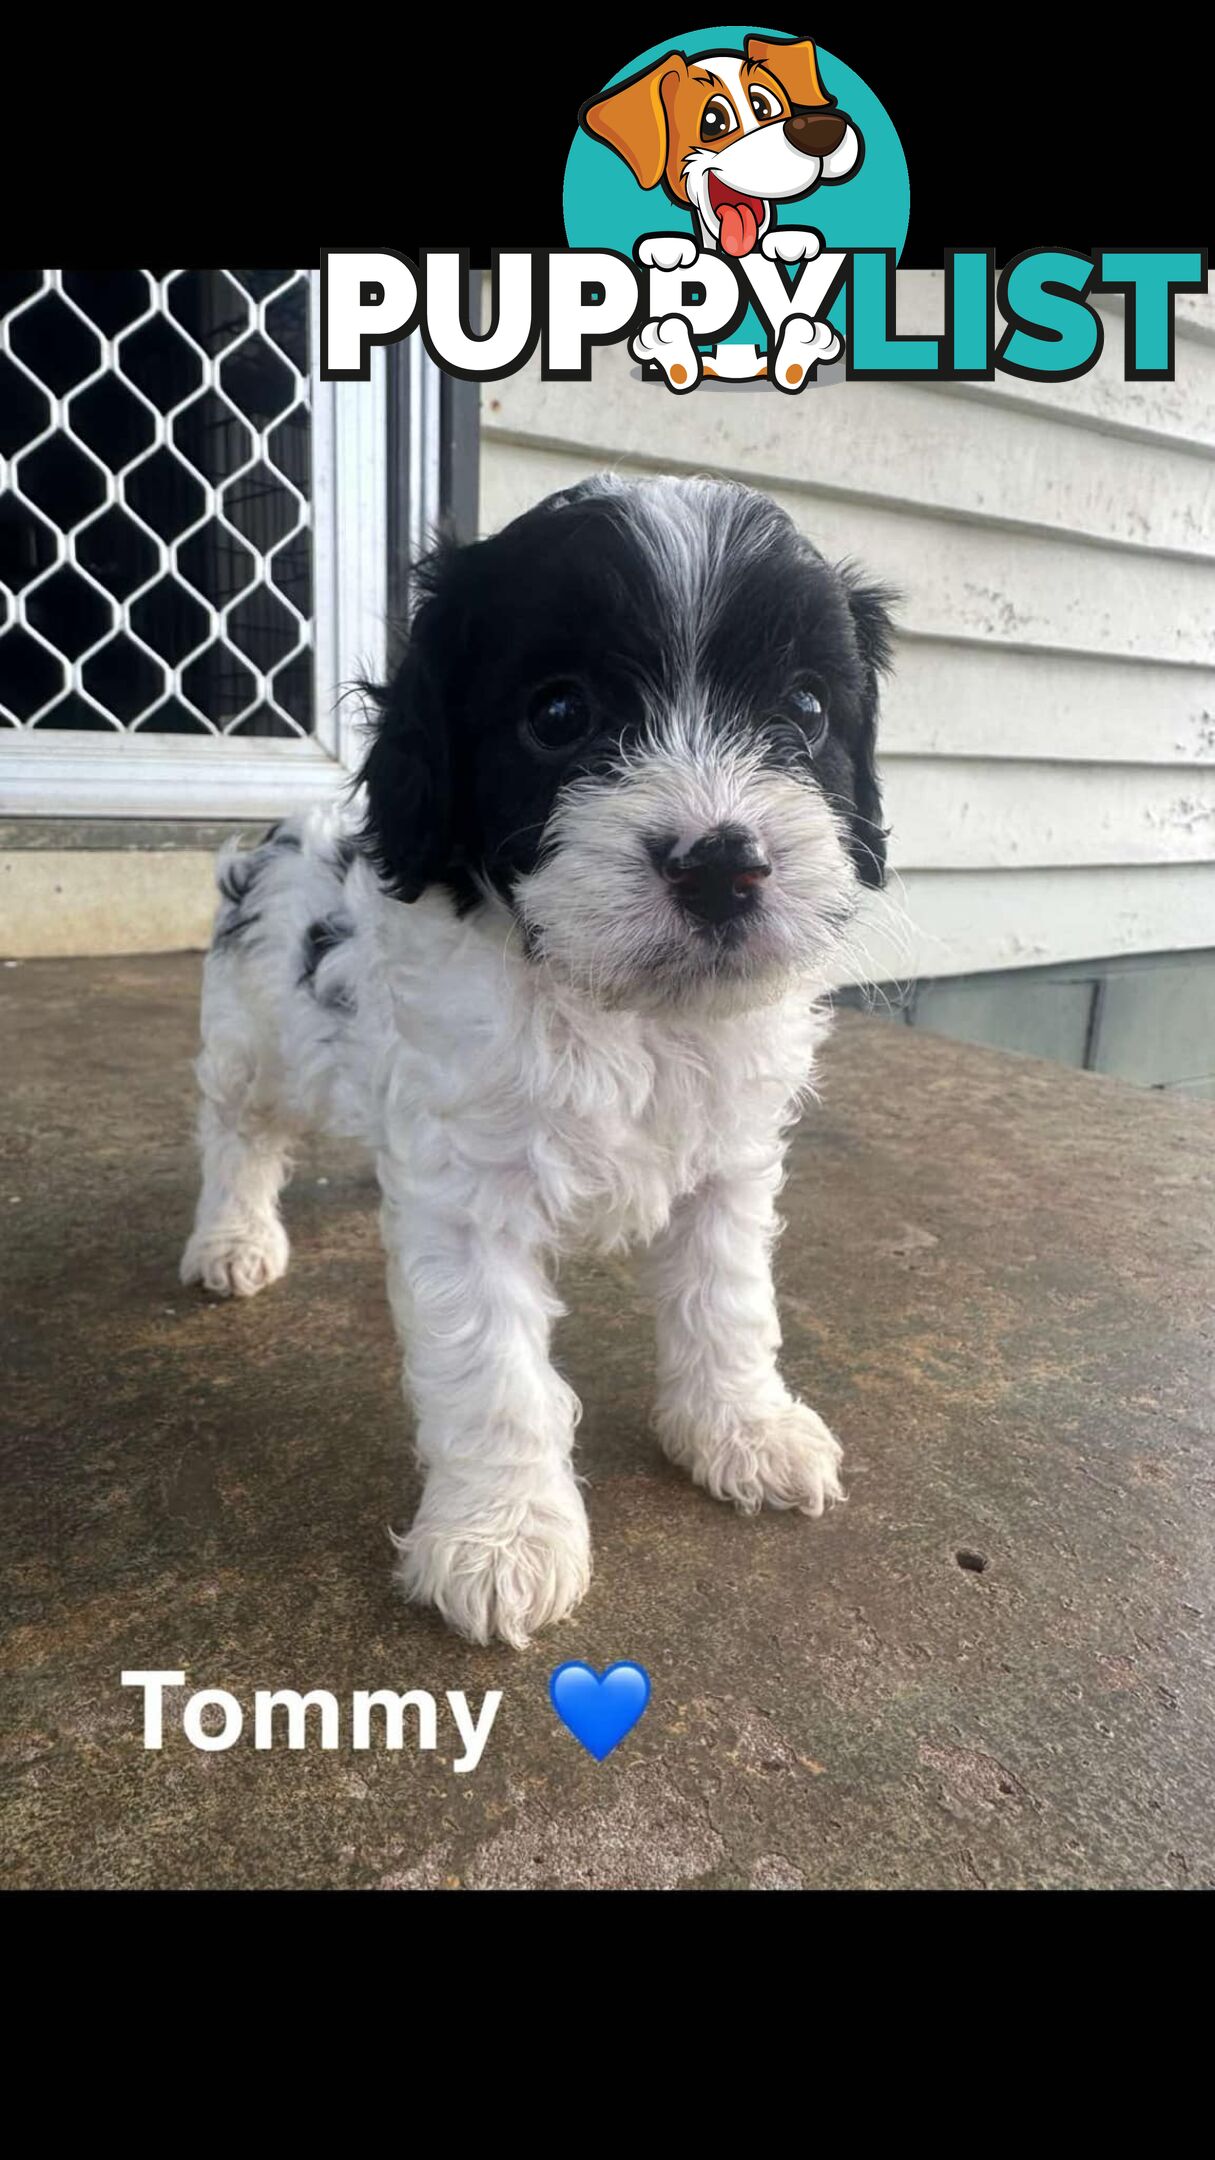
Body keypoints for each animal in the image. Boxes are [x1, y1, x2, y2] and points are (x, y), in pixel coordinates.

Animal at [179, 477, 890, 1650]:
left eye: (806, 710)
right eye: (558, 716)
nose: (723, 864)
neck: (620, 1009)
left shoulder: (731, 1162)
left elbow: (729, 1299)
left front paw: (740, 1429)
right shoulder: (469, 1199)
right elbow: (495, 1372)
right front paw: (502, 1540)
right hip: (256, 1034)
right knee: (240, 1129)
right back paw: (231, 1238)